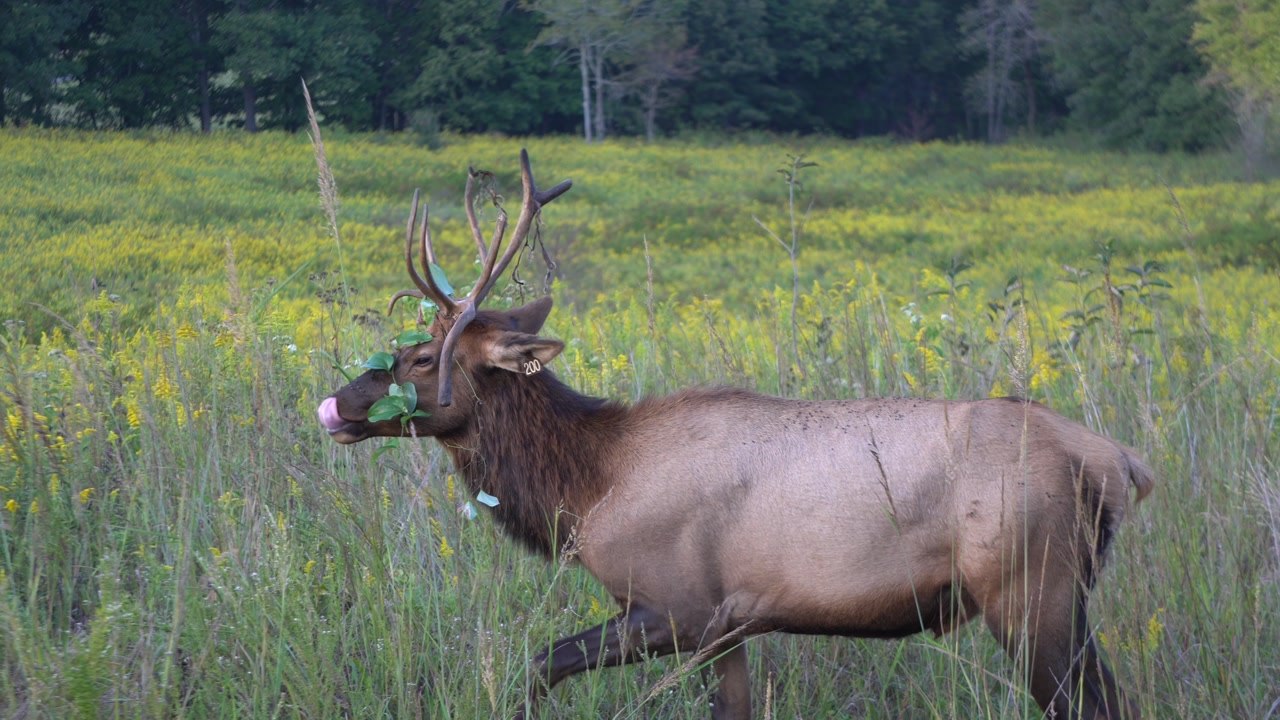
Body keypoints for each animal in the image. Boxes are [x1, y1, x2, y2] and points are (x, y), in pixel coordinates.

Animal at [316, 150, 1155, 720]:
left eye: (423, 358)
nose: (337, 404)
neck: (589, 486)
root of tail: (1119, 463)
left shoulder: (680, 605)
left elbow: (540, 663)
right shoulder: (732, 625)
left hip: (1030, 585)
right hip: (1063, 591)